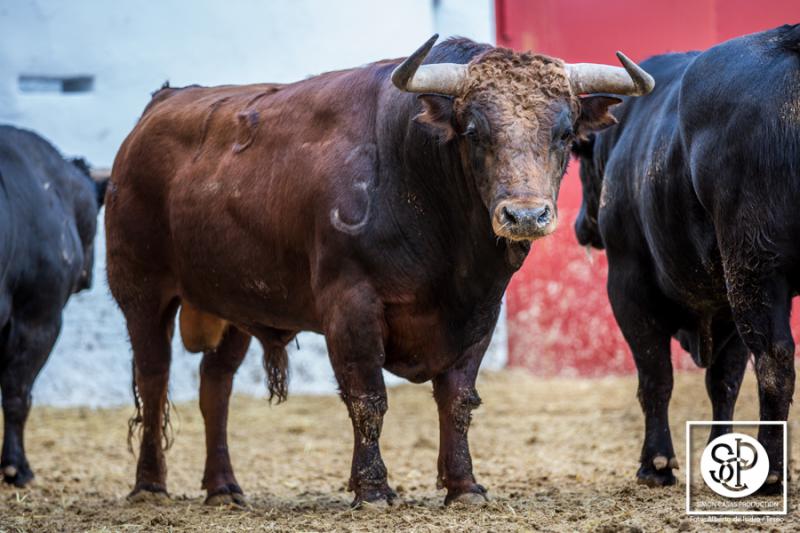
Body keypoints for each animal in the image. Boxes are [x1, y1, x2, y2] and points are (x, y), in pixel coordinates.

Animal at [106, 35, 653, 507]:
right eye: (473, 131)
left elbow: (458, 399)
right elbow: (368, 397)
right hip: (141, 291)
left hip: (232, 304)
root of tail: (158, 107)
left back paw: (223, 487)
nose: (524, 216)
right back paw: (149, 484)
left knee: (213, 386)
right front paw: (371, 490)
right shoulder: (351, 305)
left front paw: (464, 486)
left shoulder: (481, 311)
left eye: (564, 134)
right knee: (154, 379)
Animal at [573, 24, 800, 493]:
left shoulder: (628, 285)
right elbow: (724, 381)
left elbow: (655, 375)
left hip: (757, 271)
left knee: (775, 360)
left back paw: (772, 472)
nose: (580, 225)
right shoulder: (725, 300)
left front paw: (655, 464)